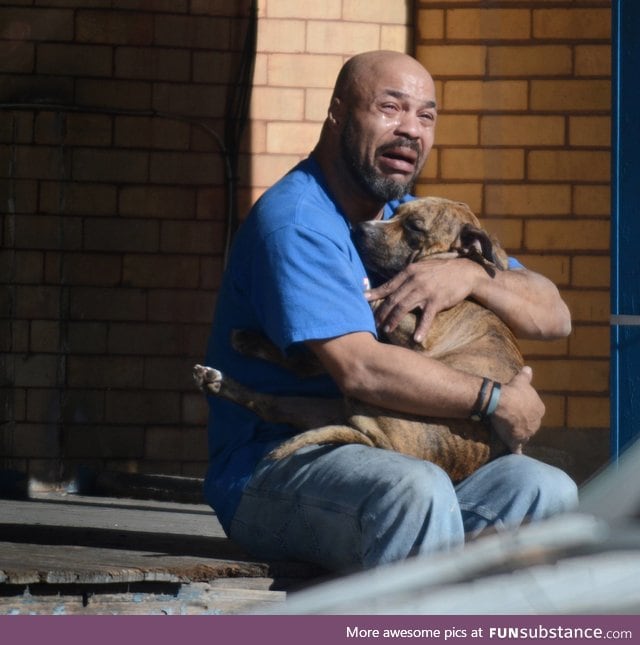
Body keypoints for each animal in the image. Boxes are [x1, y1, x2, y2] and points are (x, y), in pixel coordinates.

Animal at [195, 196, 524, 484]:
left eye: (415, 226)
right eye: (395, 212)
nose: (360, 228)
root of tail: (381, 442)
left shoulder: (414, 333)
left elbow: (374, 301)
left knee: (299, 372)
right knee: (275, 397)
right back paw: (224, 374)